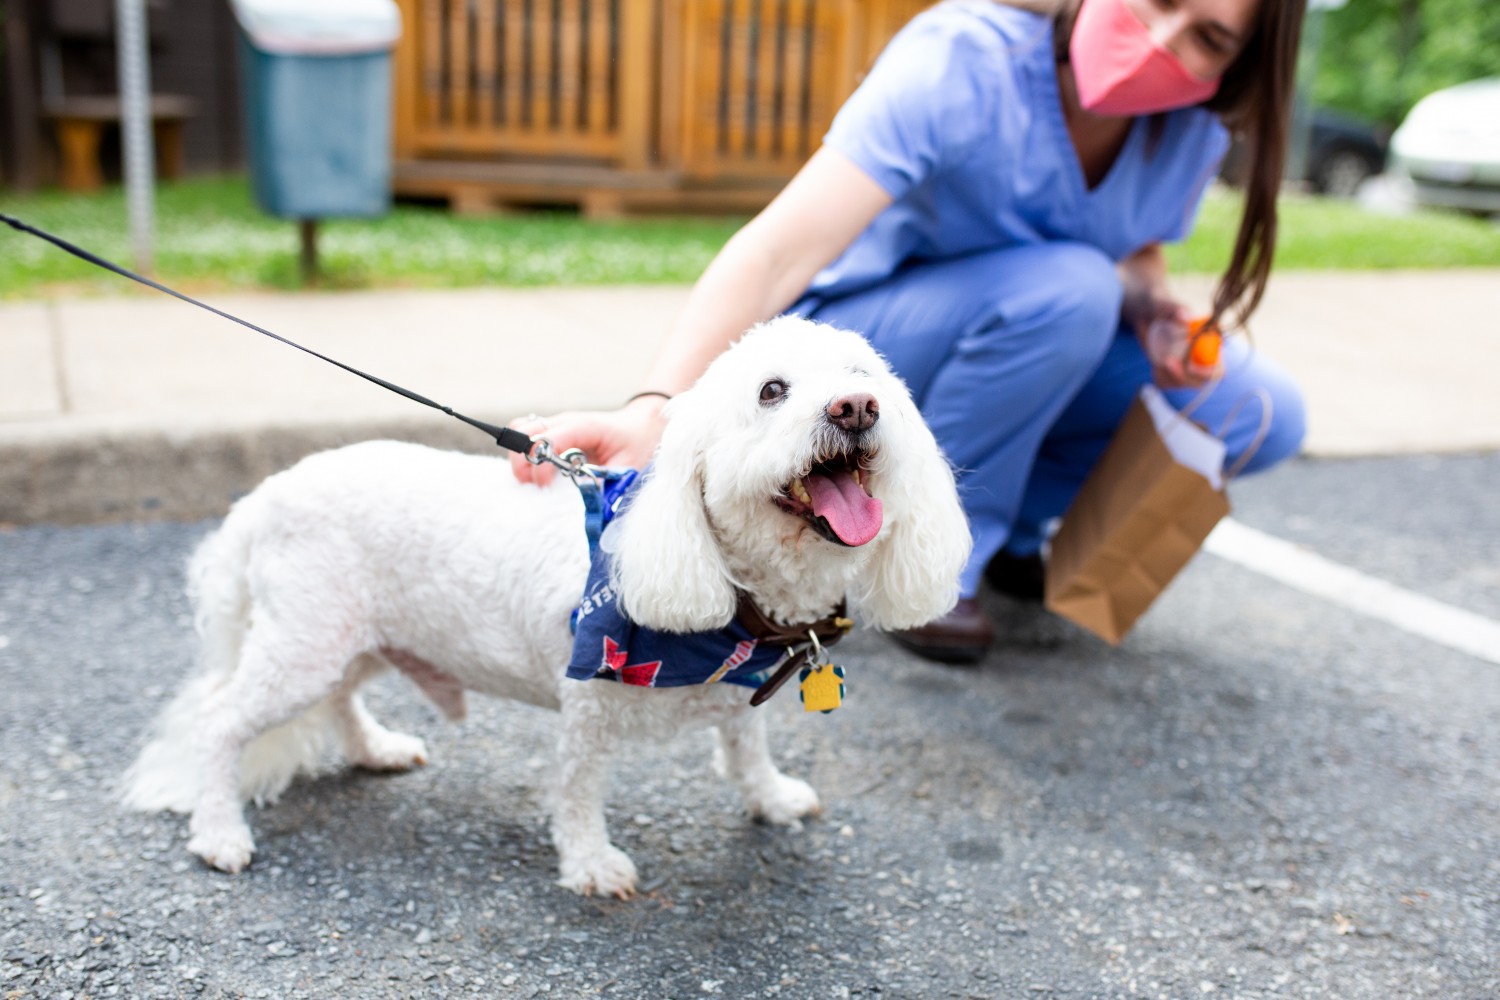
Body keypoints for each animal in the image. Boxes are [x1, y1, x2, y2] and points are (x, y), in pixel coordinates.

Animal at [126, 316, 972, 893]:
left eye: (862, 375)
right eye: (772, 391)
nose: (856, 407)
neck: (733, 601)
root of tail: (263, 495)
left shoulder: (738, 695)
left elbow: (745, 747)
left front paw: (770, 797)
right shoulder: (586, 703)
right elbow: (576, 788)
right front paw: (592, 862)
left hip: (352, 638)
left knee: (337, 700)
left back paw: (373, 747)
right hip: (306, 644)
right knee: (221, 723)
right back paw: (218, 829)